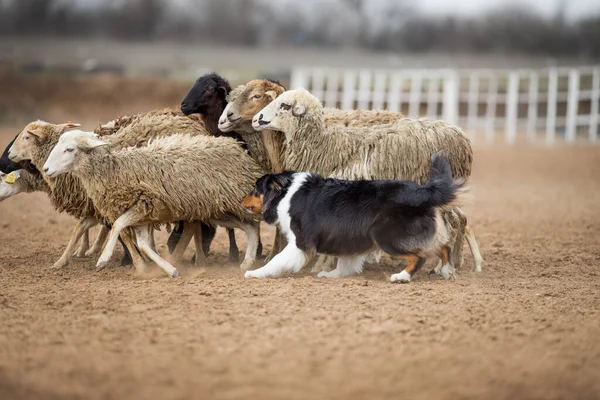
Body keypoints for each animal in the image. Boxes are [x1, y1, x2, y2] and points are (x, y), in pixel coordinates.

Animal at [43, 131, 264, 278]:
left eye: (70, 149)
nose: (45, 169)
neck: (115, 170)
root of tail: (236, 146)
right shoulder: (142, 217)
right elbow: (142, 243)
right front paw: (170, 270)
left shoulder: (143, 205)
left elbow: (118, 225)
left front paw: (103, 259)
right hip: (217, 209)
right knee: (251, 227)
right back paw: (247, 262)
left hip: (235, 202)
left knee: (254, 225)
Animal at [241, 153, 466, 282]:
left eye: (255, 189)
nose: (241, 199)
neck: (286, 192)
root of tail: (422, 191)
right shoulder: (349, 237)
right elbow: (345, 261)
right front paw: (333, 275)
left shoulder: (301, 242)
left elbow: (277, 260)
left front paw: (256, 273)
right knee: (444, 247)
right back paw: (447, 271)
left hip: (384, 235)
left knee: (419, 257)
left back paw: (401, 277)